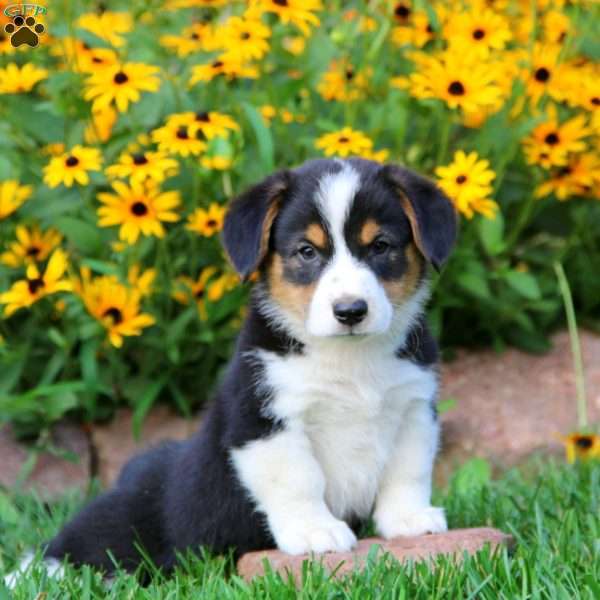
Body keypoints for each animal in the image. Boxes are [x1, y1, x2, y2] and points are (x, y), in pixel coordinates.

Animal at [5, 157, 454, 584]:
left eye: (380, 245)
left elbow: (408, 471)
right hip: (123, 526)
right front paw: (315, 532)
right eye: (307, 251)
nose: (350, 311)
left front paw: (410, 520)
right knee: (69, 549)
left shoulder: (413, 409)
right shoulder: (263, 421)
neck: (349, 358)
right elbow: (299, 479)